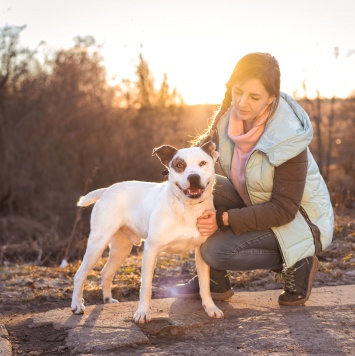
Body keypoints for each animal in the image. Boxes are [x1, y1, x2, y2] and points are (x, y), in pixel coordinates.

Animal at [71, 140, 224, 322]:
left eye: (202, 163)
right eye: (180, 165)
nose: (193, 177)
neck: (186, 208)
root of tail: (107, 190)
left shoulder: (200, 253)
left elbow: (205, 285)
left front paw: (210, 308)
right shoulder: (151, 249)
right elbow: (146, 286)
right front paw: (143, 312)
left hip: (121, 248)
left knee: (106, 272)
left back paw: (107, 299)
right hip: (97, 244)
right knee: (80, 274)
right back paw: (77, 305)